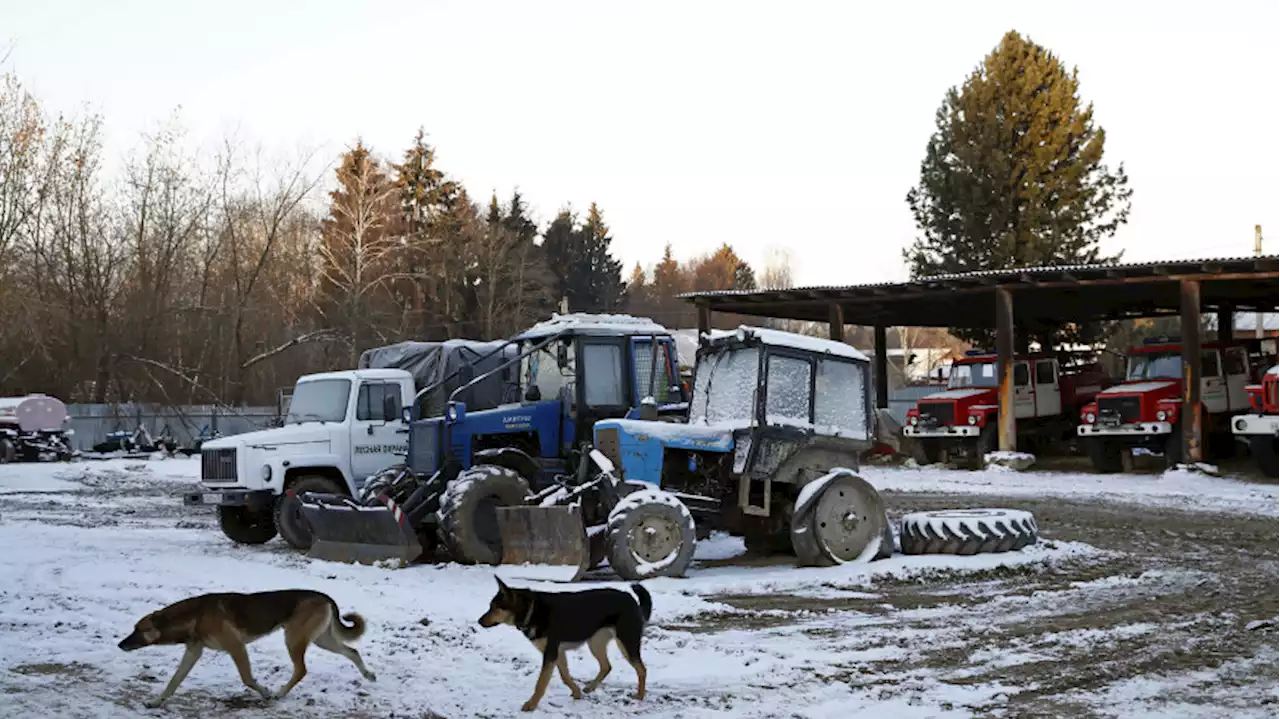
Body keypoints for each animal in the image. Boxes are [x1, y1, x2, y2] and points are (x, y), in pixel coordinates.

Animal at [115, 588, 376, 706]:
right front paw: (157, 702)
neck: (194, 617)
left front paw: (266, 692)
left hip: (293, 638)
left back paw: (279, 693)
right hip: (322, 640)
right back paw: (368, 674)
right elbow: (174, 680)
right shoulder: (193, 651)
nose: (120, 644)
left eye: (138, 629)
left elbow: (247, 678)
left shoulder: (236, 647)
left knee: (301, 670)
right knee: (352, 651)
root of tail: (324, 596)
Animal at [481, 573, 655, 706]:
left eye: (494, 608)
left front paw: (531, 705)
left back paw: (640, 697)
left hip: (626, 643)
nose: (479, 621)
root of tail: (632, 600)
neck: (532, 610)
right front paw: (577, 692)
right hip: (595, 642)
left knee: (642, 669)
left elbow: (541, 683)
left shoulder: (551, 653)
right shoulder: (558, 652)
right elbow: (565, 677)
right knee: (607, 666)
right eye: (490, 606)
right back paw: (590, 687)